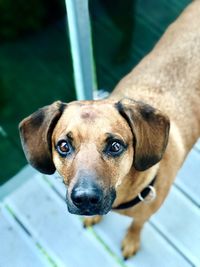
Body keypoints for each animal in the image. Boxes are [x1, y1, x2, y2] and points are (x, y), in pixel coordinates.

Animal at [18, 1, 200, 260]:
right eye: (63, 146)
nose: (85, 200)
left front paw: (132, 239)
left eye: (115, 146)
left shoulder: (145, 215)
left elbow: (137, 224)